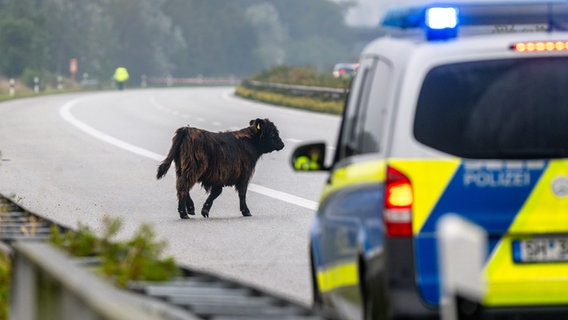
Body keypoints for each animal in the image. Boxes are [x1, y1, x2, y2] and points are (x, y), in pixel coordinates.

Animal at [155, 119, 284, 219]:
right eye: (273, 133)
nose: (282, 144)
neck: (250, 142)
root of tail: (186, 130)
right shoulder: (243, 175)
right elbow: (242, 193)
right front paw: (246, 211)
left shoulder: (219, 176)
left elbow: (216, 192)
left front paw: (205, 210)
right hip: (193, 168)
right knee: (183, 185)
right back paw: (183, 213)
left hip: (180, 167)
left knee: (181, 185)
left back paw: (190, 208)